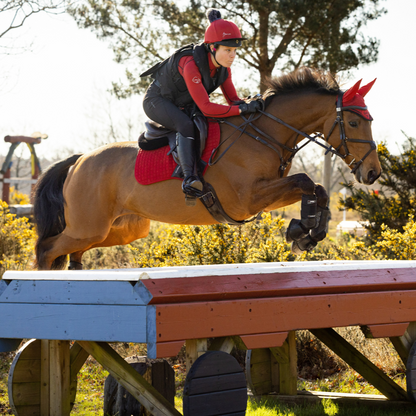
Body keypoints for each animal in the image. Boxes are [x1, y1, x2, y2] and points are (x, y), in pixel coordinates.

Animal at [34, 68, 382, 270]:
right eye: (353, 122)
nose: (373, 173)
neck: (263, 133)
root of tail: (79, 160)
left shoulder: (266, 194)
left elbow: (315, 187)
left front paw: (308, 231)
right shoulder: (248, 199)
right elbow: (305, 180)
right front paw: (304, 229)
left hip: (117, 230)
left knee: (74, 255)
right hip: (88, 227)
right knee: (47, 250)